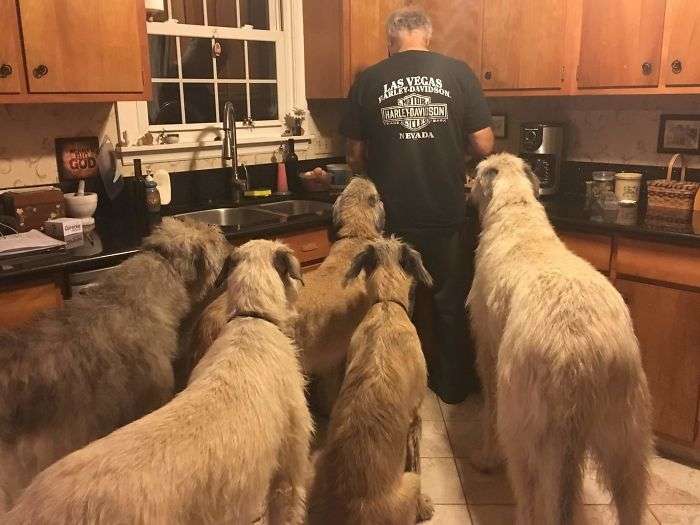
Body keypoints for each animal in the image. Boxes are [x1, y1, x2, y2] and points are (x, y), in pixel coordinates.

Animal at [308, 238, 434, 524]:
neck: (386, 304)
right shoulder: (416, 418)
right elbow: (417, 461)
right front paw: (424, 506)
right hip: (409, 483)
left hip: (316, 460)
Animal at [468, 152, 652, 524]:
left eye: (478, 172)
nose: (466, 186)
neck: (516, 208)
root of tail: (579, 356)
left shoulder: (487, 353)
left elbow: (488, 409)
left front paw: (485, 458)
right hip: (627, 436)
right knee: (630, 496)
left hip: (523, 425)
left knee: (529, 495)